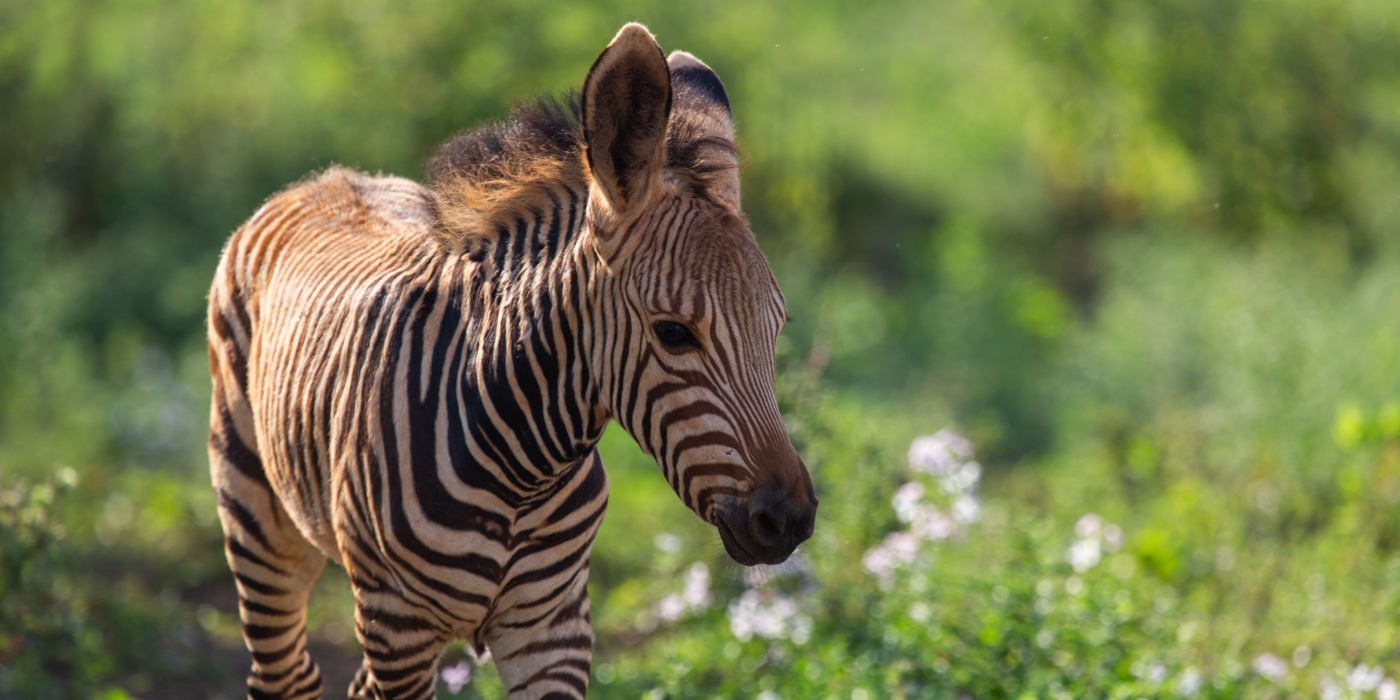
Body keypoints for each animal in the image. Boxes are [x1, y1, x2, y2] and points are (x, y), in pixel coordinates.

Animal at [210, 23, 817, 700]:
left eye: (777, 328)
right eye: (673, 333)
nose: (788, 520)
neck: (523, 466)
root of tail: (327, 179)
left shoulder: (552, 626)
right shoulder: (398, 624)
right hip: (258, 517)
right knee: (284, 670)